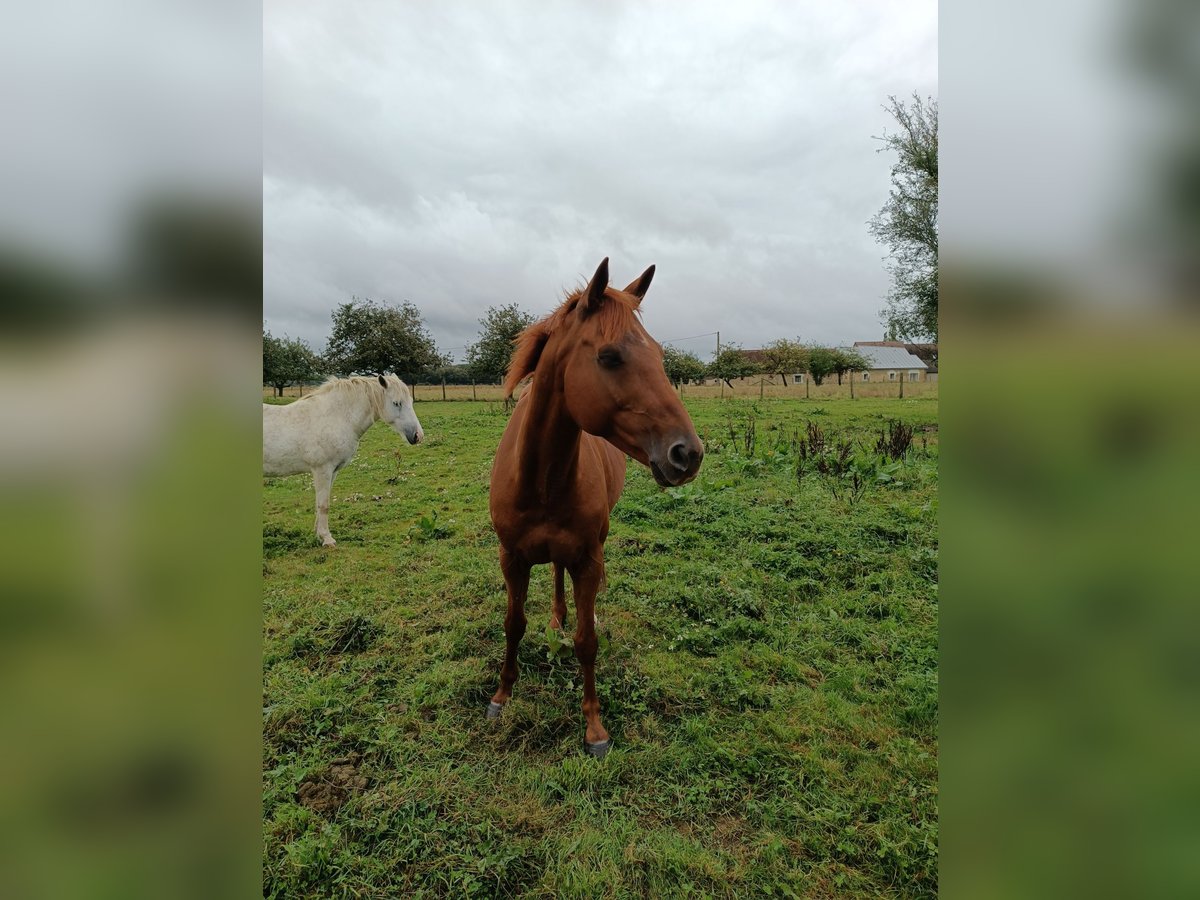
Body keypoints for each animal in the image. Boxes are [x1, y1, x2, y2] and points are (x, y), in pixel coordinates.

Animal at [265, 374, 424, 547]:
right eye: (397, 403)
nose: (418, 436)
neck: (334, 417)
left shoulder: (332, 472)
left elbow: (320, 503)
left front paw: (318, 535)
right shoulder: (322, 470)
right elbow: (324, 505)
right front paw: (327, 539)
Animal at [484, 256, 700, 758]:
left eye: (660, 355)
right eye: (609, 356)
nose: (688, 454)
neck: (539, 479)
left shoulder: (587, 558)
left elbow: (587, 641)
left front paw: (594, 727)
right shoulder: (511, 558)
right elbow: (513, 624)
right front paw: (502, 695)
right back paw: (557, 615)